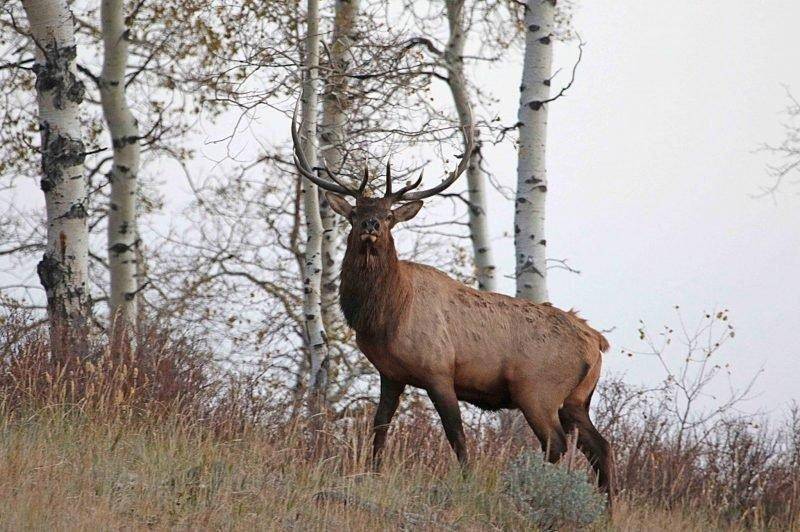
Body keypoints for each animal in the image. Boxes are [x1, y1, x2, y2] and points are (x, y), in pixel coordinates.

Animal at [290, 106, 616, 496]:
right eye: (355, 212)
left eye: (388, 216)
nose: (370, 224)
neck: (385, 314)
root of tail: (597, 342)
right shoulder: (391, 373)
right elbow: (380, 426)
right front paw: (373, 473)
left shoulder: (439, 369)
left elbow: (455, 433)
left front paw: (466, 481)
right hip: (576, 399)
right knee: (601, 446)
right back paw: (606, 505)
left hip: (538, 390)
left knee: (557, 444)